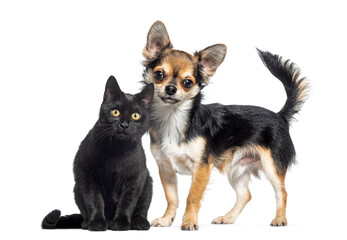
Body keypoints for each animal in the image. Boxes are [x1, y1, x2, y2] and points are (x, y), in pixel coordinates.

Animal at [41, 76, 154, 231]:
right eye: (115, 112)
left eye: (135, 116)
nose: (124, 125)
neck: (117, 150)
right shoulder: (87, 173)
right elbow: (94, 199)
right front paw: (97, 222)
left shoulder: (136, 175)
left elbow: (127, 201)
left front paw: (121, 222)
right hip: (77, 188)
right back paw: (87, 223)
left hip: (148, 182)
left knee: (142, 208)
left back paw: (139, 223)